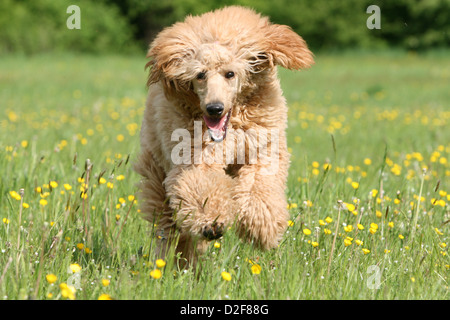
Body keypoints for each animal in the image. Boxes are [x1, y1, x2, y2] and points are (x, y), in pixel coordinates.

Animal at [135, 6, 314, 268]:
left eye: (230, 74)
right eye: (200, 75)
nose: (214, 109)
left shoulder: (262, 149)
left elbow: (258, 186)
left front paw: (261, 228)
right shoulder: (195, 158)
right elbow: (202, 187)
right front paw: (211, 222)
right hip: (157, 172)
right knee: (170, 227)